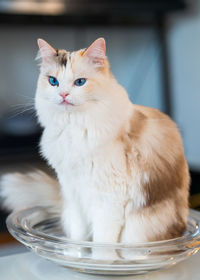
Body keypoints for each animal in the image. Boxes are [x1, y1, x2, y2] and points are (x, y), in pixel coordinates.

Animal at [0, 38, 190, 260]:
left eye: (80, 82)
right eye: (53, 81)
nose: (63, 94)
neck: (73, 129)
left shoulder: (108, 198)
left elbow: (102, 241)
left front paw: (100, 261)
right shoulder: (73, 192)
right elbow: (77, 235)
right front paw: (74, 256)